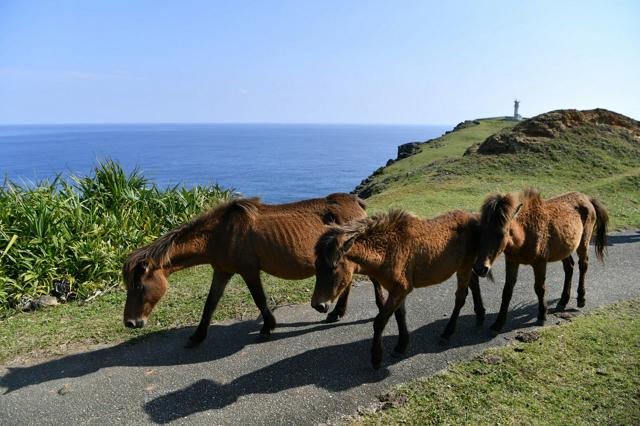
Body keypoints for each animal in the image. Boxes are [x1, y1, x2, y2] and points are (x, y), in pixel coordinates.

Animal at [122, 193, 382, 346]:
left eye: (138, 285)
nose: (130, 323)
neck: (219, 233)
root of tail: (356, 202)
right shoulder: (222, 271)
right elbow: (210, 303)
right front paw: (198, 335)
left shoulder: (248, 270)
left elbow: (259, 299)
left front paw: (268, 326)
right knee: (347, 282)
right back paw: (337, 312)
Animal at [310, 210, 484, 370]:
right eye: (316, 267)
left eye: (332, 268)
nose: (318, 305)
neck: (388, 250)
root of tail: (474, 218)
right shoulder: (397, 291)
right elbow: (400, 316)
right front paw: (401, 345)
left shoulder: (400, 290)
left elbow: (380, 321)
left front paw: (376, 358)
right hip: (463, 267)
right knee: (473, 285)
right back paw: (480, 316)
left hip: (464, 266)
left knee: (460, 297)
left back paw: (448, 333)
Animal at [472, 190, 608, 332]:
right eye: (479, 233)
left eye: (502, 234)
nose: (480, 268)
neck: (525, 234)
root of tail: (587, 198)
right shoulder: (512, 262)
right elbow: (507, 290)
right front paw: (498, 323)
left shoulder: (540, 264)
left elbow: (539, 288)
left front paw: (542, 315)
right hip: (564, 247)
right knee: (569, 268)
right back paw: (563, 301)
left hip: (583, 243)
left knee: (583, 265)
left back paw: (581, 298)